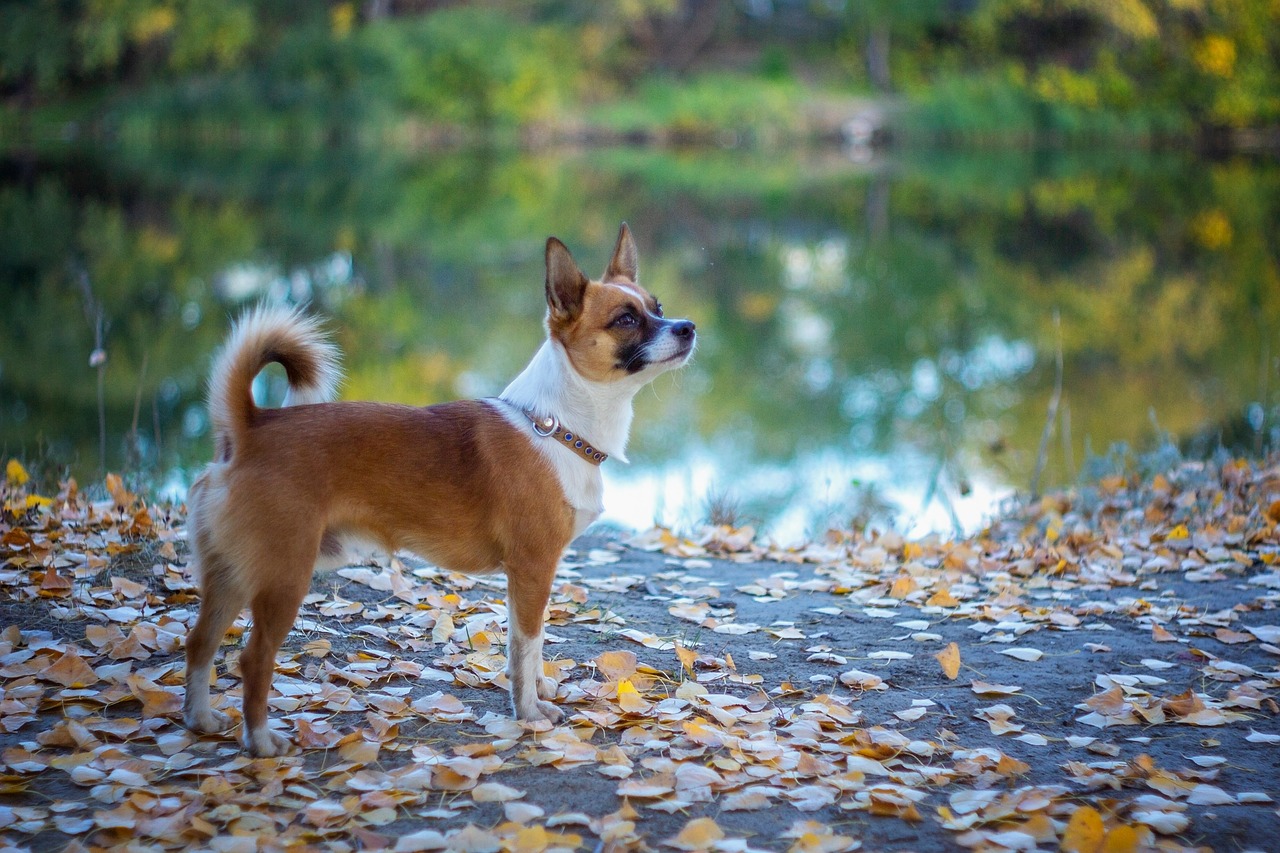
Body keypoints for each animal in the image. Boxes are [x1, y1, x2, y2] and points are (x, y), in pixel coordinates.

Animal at [185, 224, 696, 753]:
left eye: (657, 306)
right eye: (625, 319)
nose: (687, 327)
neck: (557, 426)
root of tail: (251, 428)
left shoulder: (531, 578)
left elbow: (529, 649)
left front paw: (535, 693)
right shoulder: (532, 570)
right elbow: (527, 646)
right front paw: (529, 713)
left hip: (229, 575)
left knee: (199, 644)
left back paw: (200, 718)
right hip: (283, 578)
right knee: (253, 659)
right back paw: (262, 742)